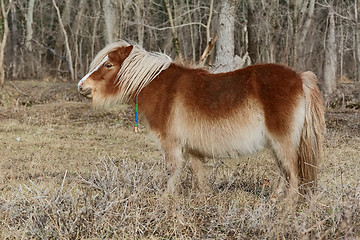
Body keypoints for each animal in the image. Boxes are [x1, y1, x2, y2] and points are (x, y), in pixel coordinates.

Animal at [77, 40, 324, 202]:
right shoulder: (192, 149)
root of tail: (299, 78)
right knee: (285, 171)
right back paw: (274, 199)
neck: (161, 89)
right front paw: (201, 201)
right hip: (276, 143)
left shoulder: (172, 144)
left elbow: (173, 171)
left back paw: (287, 206)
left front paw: (166, 200)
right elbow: (198, 177)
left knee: (292, 171)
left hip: (282, 140)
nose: (81, 86)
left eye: (108, 65)